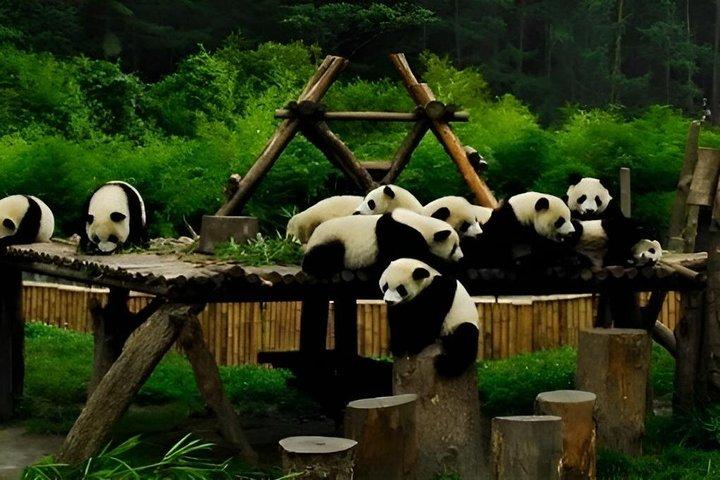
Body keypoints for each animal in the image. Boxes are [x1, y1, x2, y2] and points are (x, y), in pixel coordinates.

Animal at [302, 208, 462, 277]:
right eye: (454, 247)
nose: (461, 258)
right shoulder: (397, 234)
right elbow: (412, 256)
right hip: (332, 239)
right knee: (325, 255)